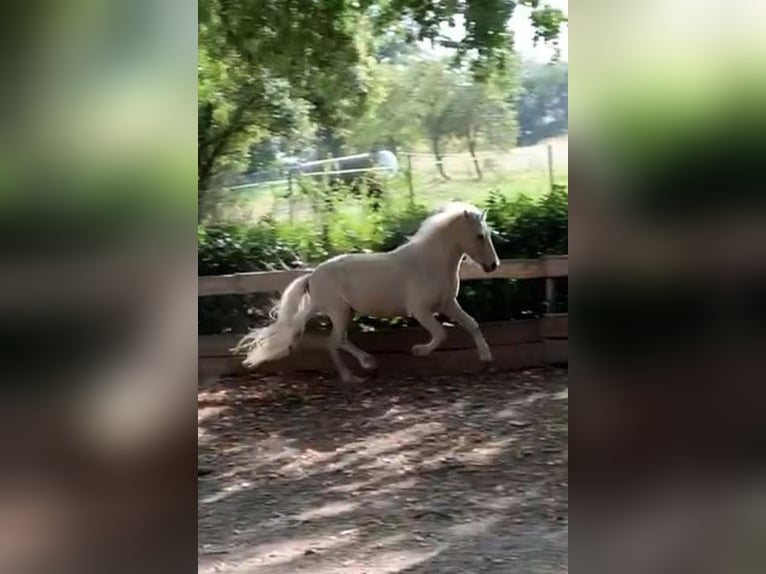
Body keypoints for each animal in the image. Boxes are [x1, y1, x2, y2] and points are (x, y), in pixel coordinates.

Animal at [232, 202, 500, 382]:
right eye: (480, 236)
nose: (493, 265)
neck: (427, 263)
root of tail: (312, 276)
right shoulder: (421, 311)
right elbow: (441, 334)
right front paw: (418, 351)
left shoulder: (448, 304)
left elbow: (472, 324)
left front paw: (486, 359)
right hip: (339, 311)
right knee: (335, 341)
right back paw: (356, 373)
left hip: (344, 312)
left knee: (336, 341)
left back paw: (361, 368)